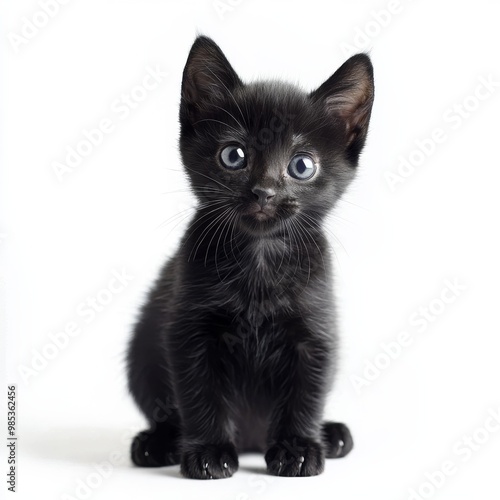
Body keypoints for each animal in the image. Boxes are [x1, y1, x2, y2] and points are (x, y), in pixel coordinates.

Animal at [127, 37, 374, 478]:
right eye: (234, 156)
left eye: (301, 165)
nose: (264, 191)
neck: (259, 258)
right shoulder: (190, 329)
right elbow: (199, 392)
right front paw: (209, 452)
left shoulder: (315, 331)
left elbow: (306, 393)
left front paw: (297, 448)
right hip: (140, 351)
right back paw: (157, 443)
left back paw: (331, 434)